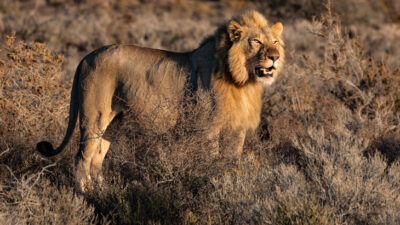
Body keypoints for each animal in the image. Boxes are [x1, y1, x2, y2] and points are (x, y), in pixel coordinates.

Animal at [35, 10, 284, 190]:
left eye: (274, 42)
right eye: (256, 42)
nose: (275, 57)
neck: (243, 81)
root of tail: (86, 57)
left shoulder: (237, 129)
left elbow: (231, 161)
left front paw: (230, 183)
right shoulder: (209, 128)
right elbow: (211, 160)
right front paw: (212, 183)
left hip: (114, 122)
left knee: (97, 157)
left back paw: (103, 192)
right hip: (94, 116)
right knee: (81, 158)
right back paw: (85, 195)